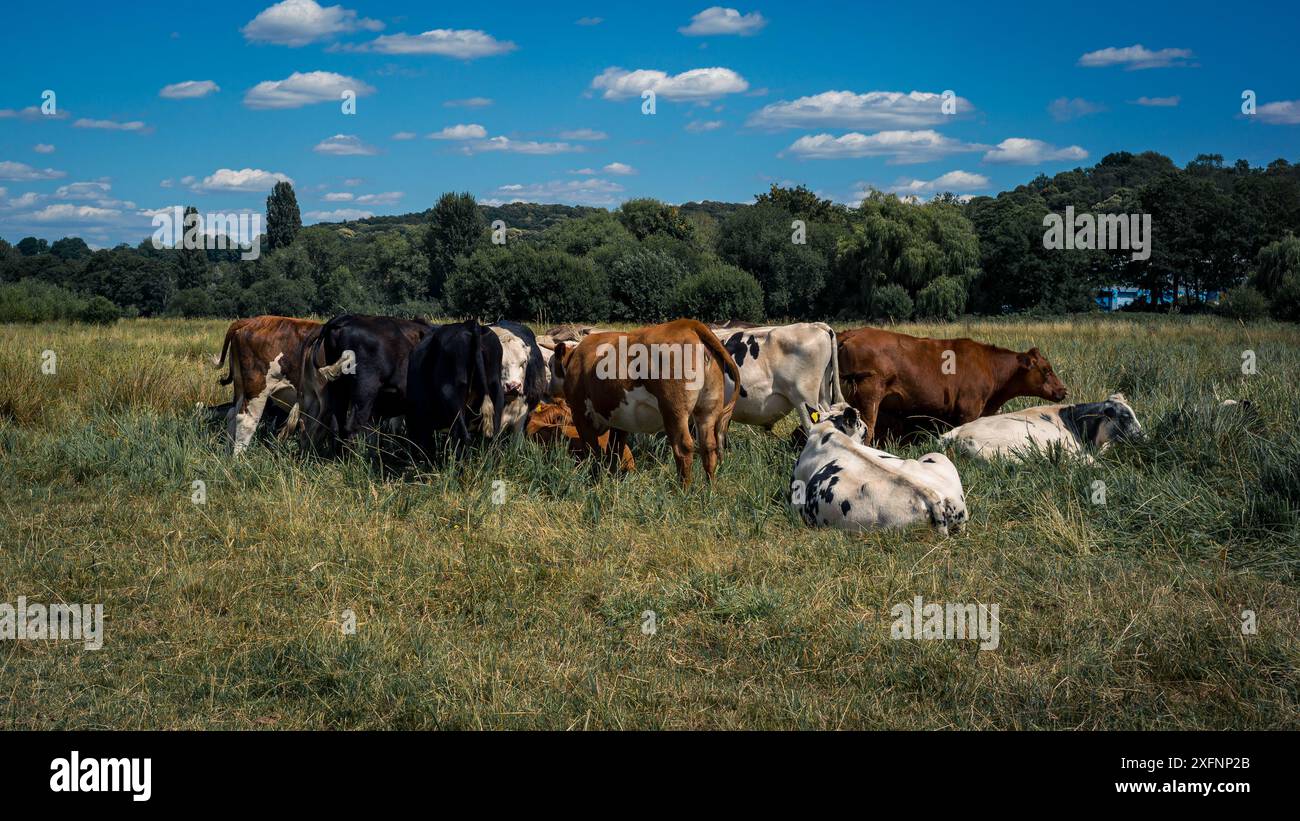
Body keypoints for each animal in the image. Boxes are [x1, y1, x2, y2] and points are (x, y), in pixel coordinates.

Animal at [211, 315, 321, 455]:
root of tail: (251, 320)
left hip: (240, 384)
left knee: (232, 415)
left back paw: (226, 454)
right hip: (258, 387)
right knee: (246, 420)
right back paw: (238, 458)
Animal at [549, 319, 741, 487]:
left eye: (551, 365)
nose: (549, 389)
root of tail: (688, 324)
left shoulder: (580, 414)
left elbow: (593, 451)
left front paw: (596, 479)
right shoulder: (619, 420)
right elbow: (614, 451)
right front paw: (611, 477)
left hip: (674, 410)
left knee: (683, 448)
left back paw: (682, 491)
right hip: (708, 409)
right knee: (709, 446)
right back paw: (710, 489)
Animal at [837, 327, 1069, 444]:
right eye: (1046, 370)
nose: (1063, 390)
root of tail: (852, 332)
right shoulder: (968, 410)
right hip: (869, 398)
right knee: (868, 430)